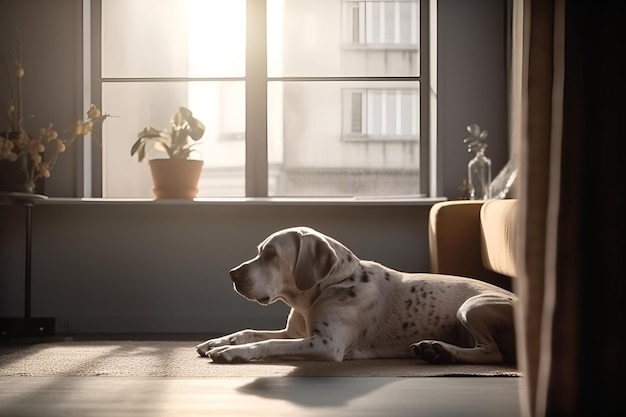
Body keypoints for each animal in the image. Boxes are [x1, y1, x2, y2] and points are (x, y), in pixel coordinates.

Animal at [196, 226, 516, 362]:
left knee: (492, 353)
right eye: (260, 251)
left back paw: (441, 351)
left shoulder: (325, 344)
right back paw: (436, 350)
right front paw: (217, 341)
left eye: (271, 254)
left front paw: (232, 351)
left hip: (472, 305)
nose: (232, 274)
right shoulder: (293, 333)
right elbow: (249, 331)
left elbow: (267, 344)